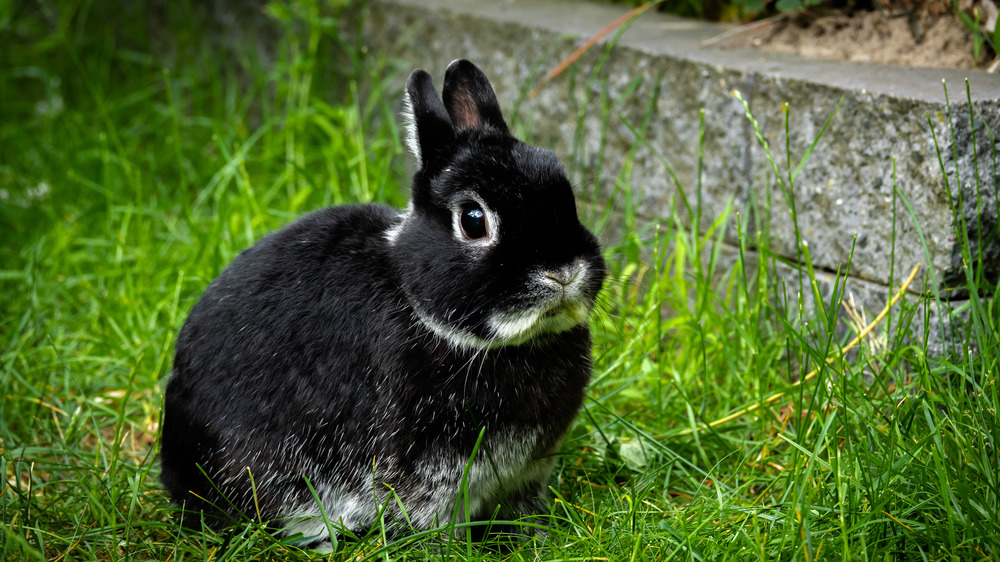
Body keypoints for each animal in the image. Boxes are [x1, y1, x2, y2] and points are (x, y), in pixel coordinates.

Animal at [160, 59, 604, 544]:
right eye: (473, 221)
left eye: (565, 191)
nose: (563, 271)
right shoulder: (430, 476)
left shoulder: (527, 472)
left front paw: (538, 535)